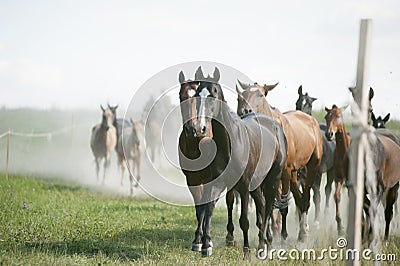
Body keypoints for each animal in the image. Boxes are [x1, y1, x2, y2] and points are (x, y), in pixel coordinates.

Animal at [179, 67, 288, 258]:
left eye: (214, 93)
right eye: (198, 94)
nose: (199, 128)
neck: (230, 144)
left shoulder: (243, 187)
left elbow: (244, 220)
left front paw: (246, 252)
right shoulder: (216, 182)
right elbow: (207, 208)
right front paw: (205, 245)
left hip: (273, 179)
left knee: (267, 208)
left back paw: (265, 246)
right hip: (256, 183)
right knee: (261, 205)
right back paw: (264, 242)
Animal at [236, 80, 324, 240]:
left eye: (261, 94)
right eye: (243, 94)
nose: (245, 111)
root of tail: (312, 121)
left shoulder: (283, 172)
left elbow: (282, 205)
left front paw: (282, 234)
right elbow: (267, 203)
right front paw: (269, 232)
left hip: (311, 166)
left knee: (305, 197)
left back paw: (303, 231)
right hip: (294, 174)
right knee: (299, 198)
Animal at [324, 104, 400, 241]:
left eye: (338, 116)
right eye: (326, 117)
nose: (329, 134)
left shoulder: (378, 188)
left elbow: (371, 209)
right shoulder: (342, 180)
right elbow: (342, 198)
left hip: (393, 188)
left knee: (388, 212)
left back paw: (385, 237)